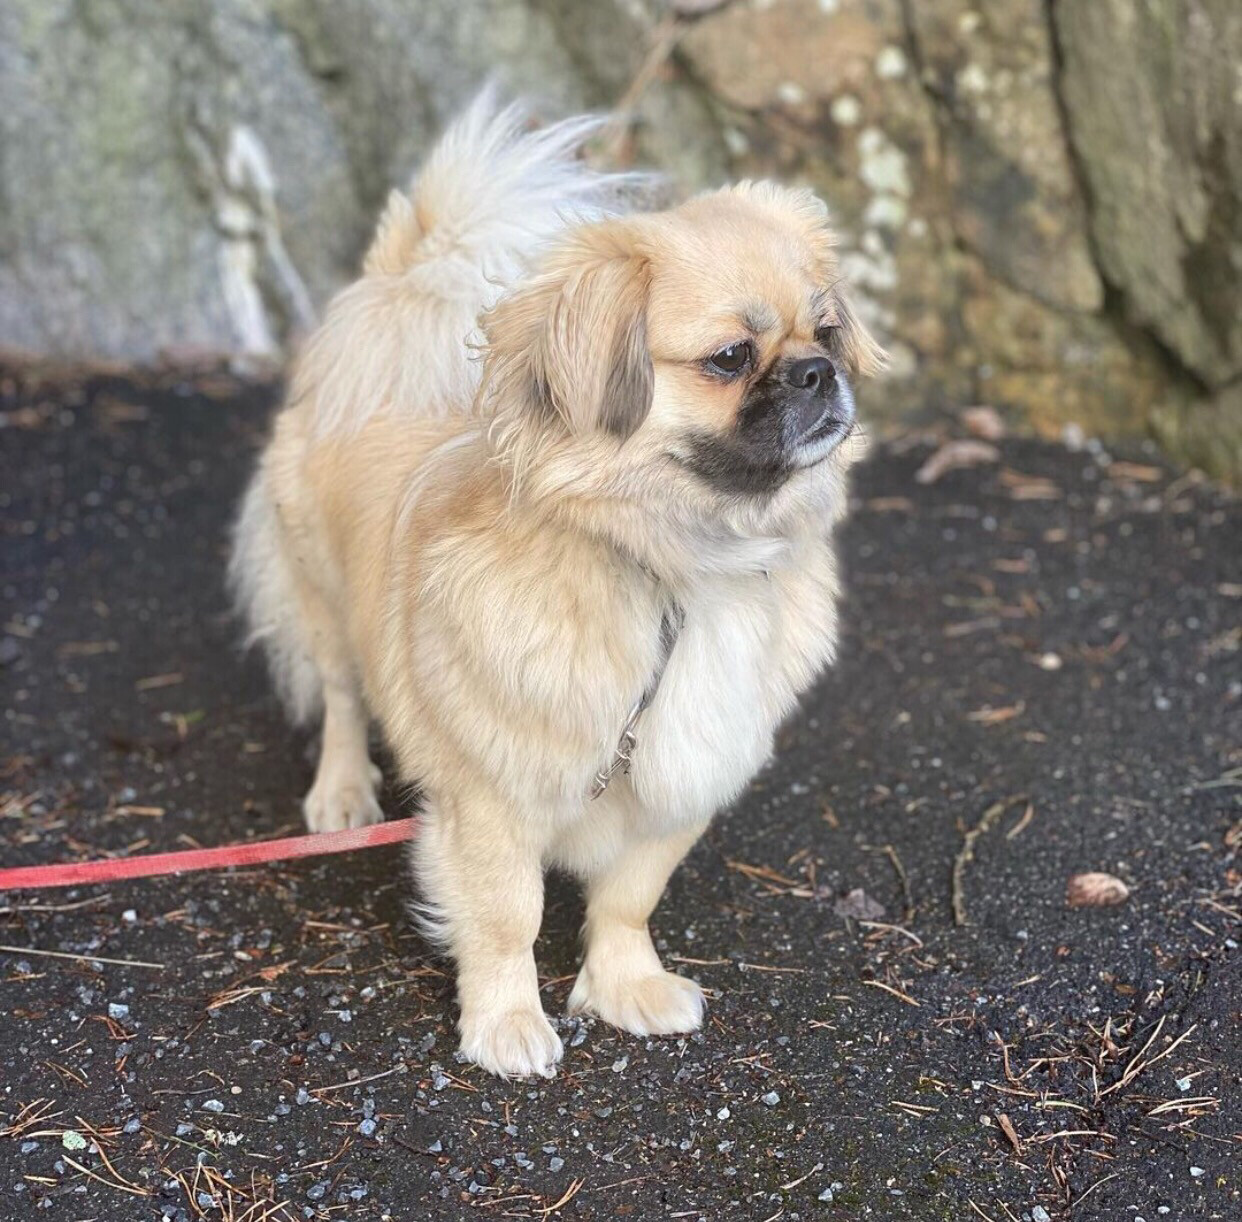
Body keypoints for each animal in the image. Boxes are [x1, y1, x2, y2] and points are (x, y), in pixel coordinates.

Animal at [231, 99, 884, 1082]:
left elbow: (627, 899)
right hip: (324, 604)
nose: (819, 372)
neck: (680, 572)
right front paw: (505, 1026)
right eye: (732, 356)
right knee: (342, 700)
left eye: (830, 331)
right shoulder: (491, 798)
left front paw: (626, 988)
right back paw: (342, 795)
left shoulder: (671, 783)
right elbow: (510, 916)